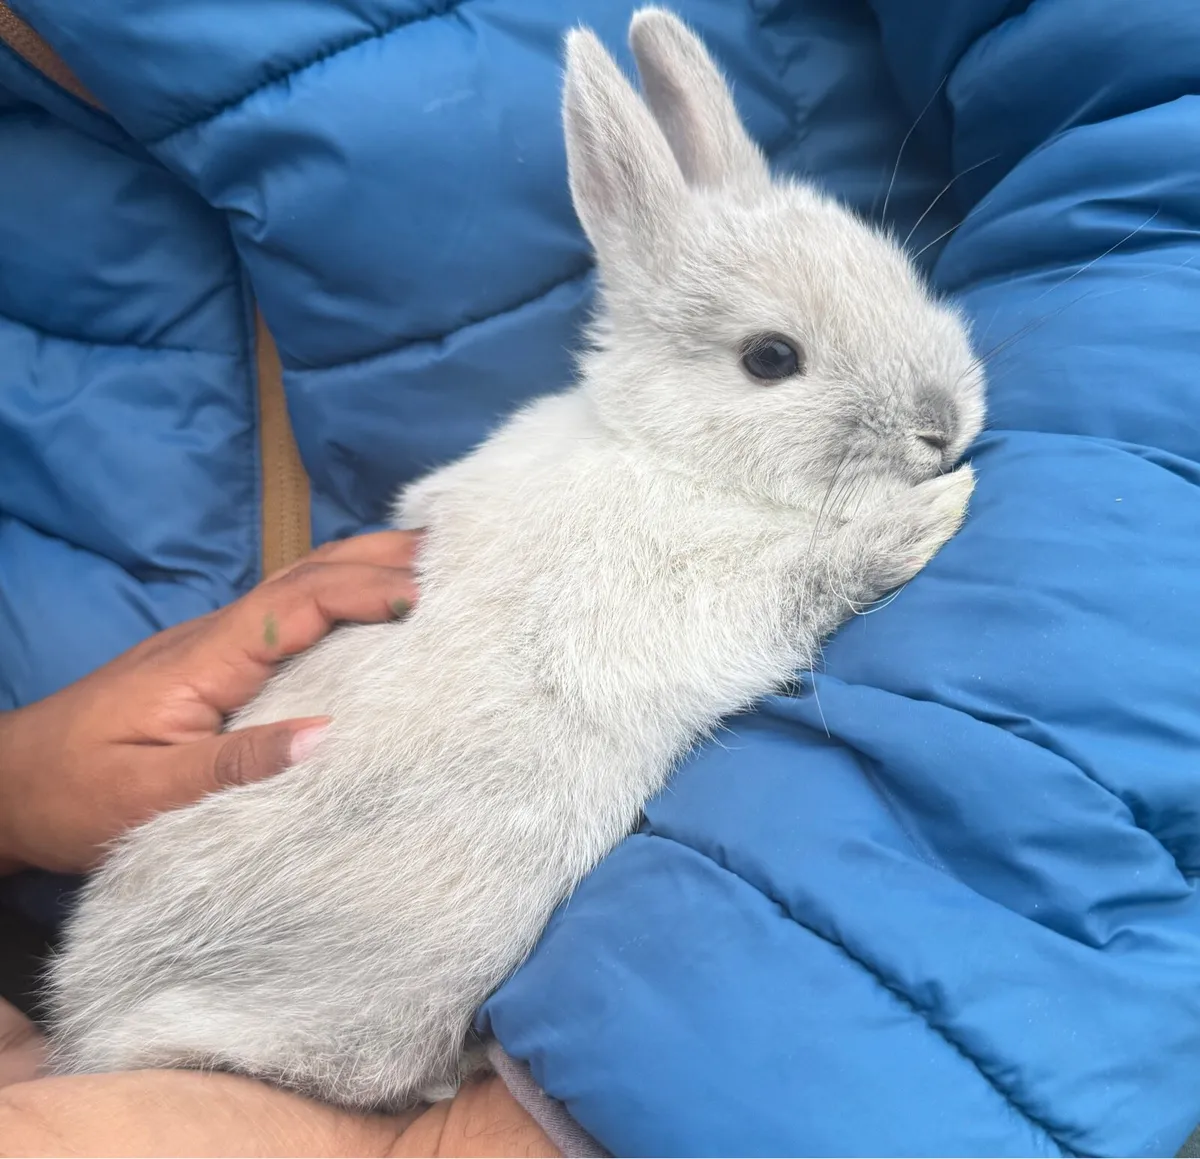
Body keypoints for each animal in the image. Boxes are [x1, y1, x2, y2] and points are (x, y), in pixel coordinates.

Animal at [46, 7, 986, 1111]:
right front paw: (936, 510)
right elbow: (820, 573)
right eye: (770, 359)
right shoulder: (693, 599)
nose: (945, 423)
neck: (666, 451)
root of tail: (91, 1023)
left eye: (894, 271)